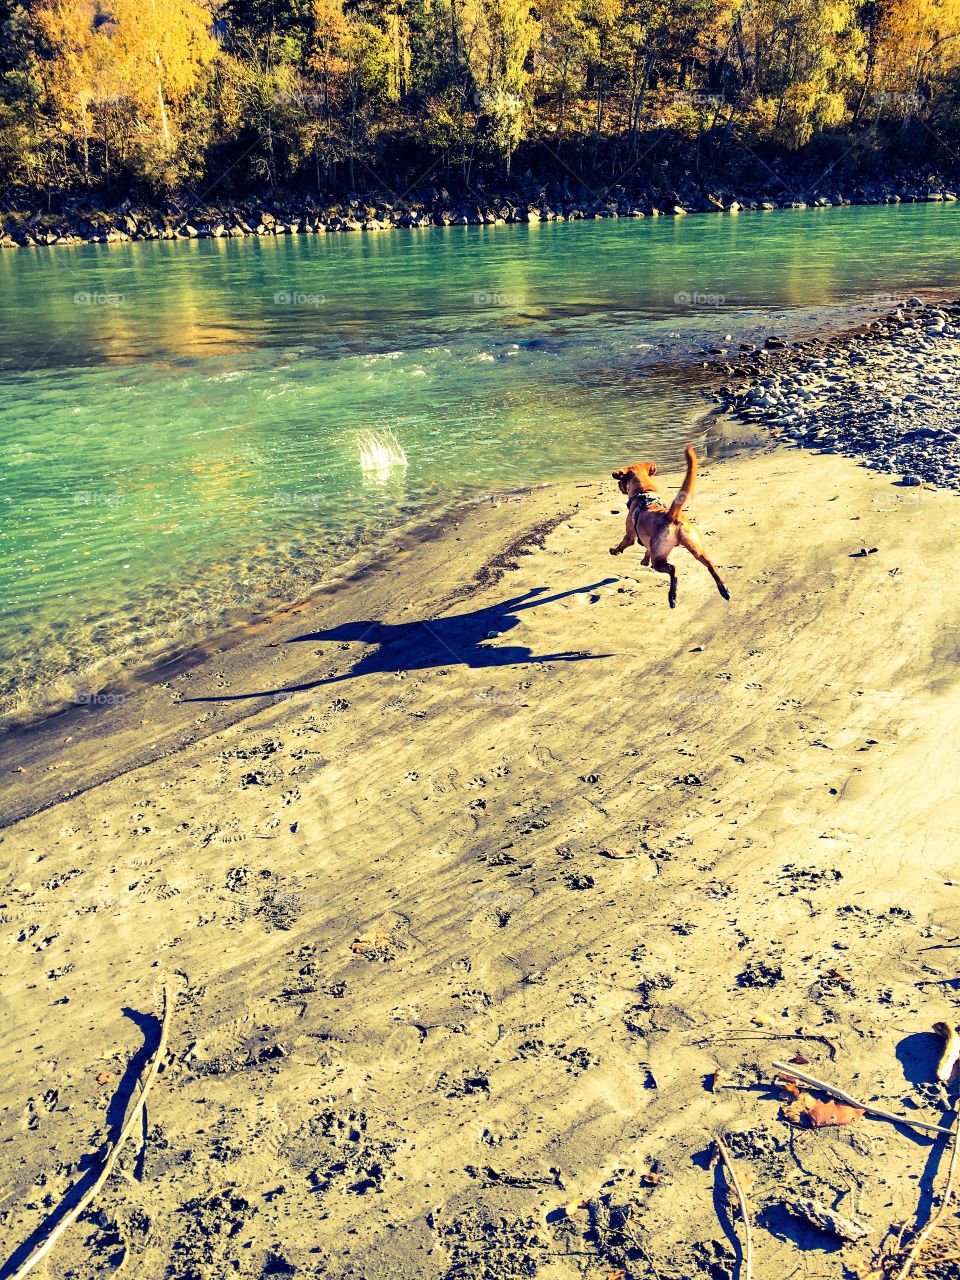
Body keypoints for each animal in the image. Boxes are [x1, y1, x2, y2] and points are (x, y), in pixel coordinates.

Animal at [611, 445, 732, 609]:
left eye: (621, 481)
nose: (618, 485)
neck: (644, 492)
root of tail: (671, 516)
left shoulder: (630, 535)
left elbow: (623, 544)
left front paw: (614, 551)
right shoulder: (650, 543)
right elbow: (647, 550)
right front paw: (644, 561)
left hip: (659, 560)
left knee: (673, 569)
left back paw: (672, 597)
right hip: (696, 548)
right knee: (711, 565)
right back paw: (723, 589)